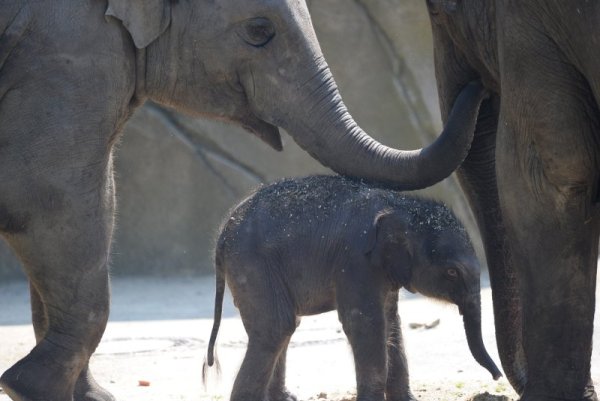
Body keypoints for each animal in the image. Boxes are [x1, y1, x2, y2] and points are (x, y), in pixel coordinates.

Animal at [206, 175, 502, 400]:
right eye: (452, 272)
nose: (497, 377)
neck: (402, 206)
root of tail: (222, 233)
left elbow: (391, 323)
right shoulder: (356, 260)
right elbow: (365, 323)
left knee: (283, 327)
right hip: (253, 265)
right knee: (276, 327)